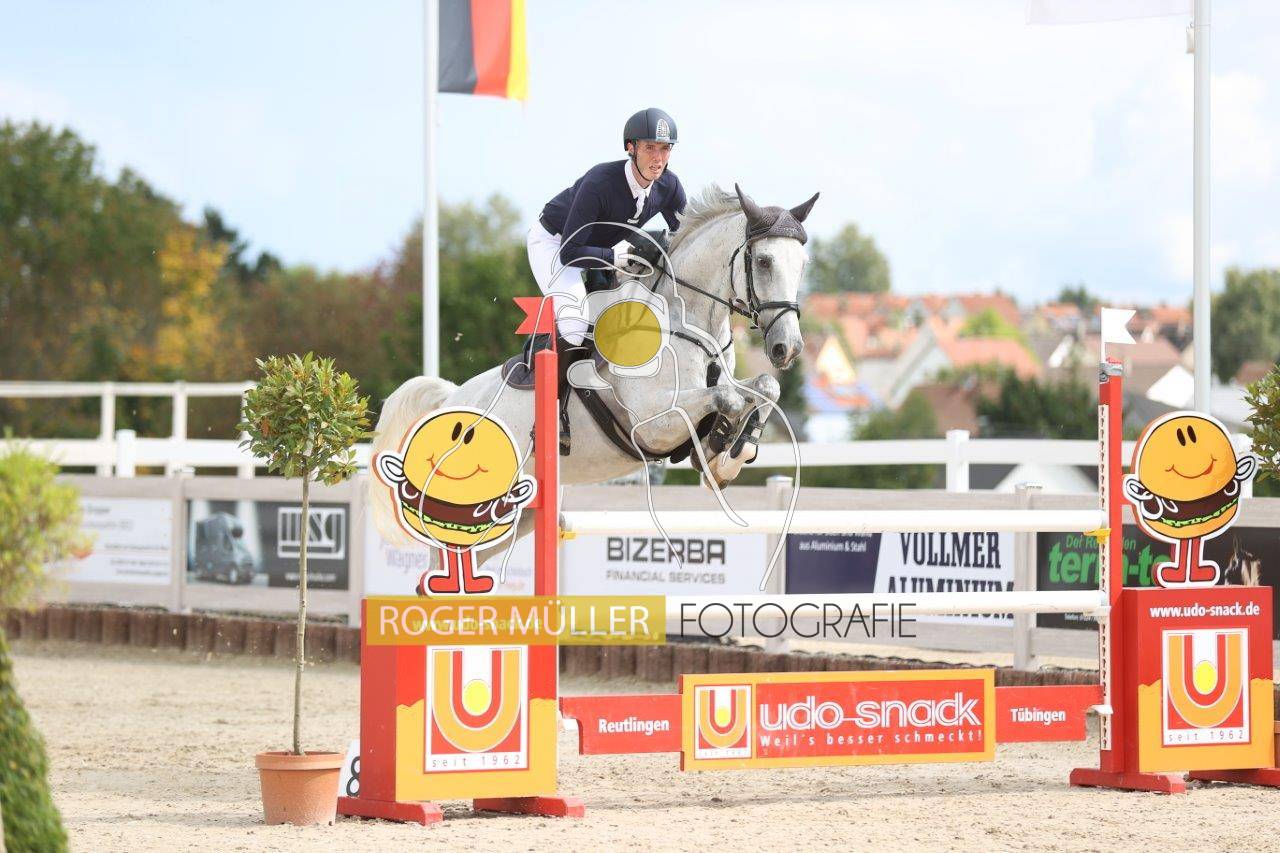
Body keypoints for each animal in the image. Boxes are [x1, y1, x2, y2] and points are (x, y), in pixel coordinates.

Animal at [369, 183, 816, 575]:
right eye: (764, 261)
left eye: (802, 266)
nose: (788, 348)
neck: (686, 321)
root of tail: (448, 400)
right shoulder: (653, 423)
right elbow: (728, 398)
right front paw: (723, 448)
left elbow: (763, 389)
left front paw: (727, 457)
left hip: (516, 517)